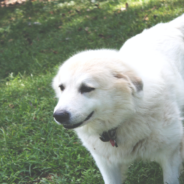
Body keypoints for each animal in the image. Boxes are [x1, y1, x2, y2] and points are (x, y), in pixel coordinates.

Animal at [51, 14, 184, 184]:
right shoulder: (107, 164)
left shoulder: (170, 155)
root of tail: (170, 26)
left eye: (87, 88)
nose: (58, 115)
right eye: (62, 87)